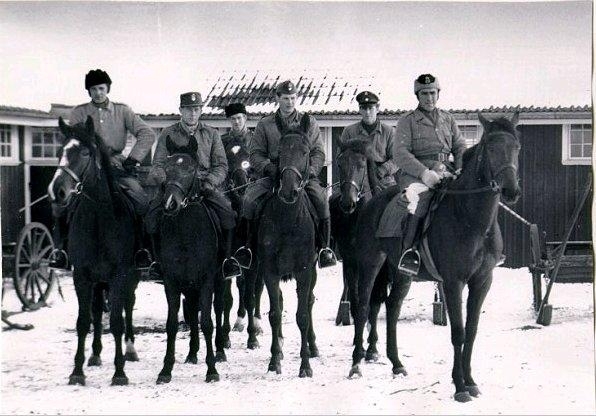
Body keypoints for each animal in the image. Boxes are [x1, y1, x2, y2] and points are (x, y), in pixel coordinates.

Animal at [48, 116, 140, 386]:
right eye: (60, 151)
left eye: (85, 153)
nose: (57, 191)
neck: (100, 218)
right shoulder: (82, 276)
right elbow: (83, 321)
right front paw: (77, 371)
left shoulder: (120, 275)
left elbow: (118, 322)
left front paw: (119, 373)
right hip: (98, 281)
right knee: (98, 311)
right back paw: (96, 354)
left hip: (129, 277)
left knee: (127, 305)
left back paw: (130, 349)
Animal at [348, 112, 522, 402]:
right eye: (491, 148)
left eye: (516, 147)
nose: (511, 190)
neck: (472, 219)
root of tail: (375, 200)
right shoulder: (453, 283)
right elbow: (458, 332)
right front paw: (460, 387)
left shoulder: (482, 281)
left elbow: (471, 331)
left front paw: (470, 381)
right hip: (370, 264)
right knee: (362, 307)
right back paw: (356, 365)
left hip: (402, 273)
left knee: (392, 307)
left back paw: (396, 364)